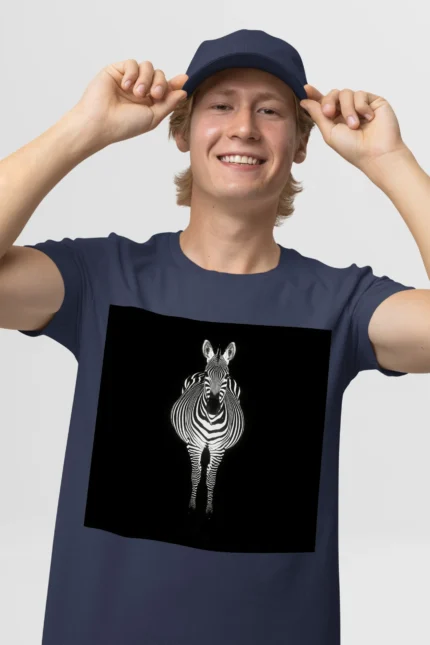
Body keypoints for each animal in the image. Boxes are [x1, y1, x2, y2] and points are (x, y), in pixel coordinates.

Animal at [170, 339, 245, 516]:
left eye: (226, 376)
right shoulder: (195, 445)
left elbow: (211, 479)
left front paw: (209, 508)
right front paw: (192, 505)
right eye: (207, 375)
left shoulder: (218, 449)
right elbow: (196, 475)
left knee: (209, 469)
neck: (211, 420)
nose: (212, 408)